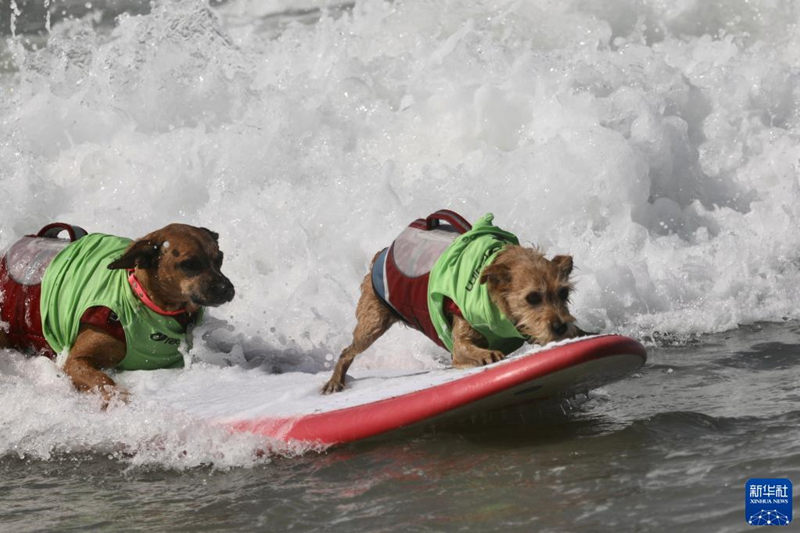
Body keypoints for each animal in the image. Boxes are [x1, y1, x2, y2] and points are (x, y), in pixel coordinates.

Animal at [0, 223, 234, 404]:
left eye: (220, 258)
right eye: (189, 264)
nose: (227, 289)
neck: (145, 300)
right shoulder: (76, 360)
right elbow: (103, 380)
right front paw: (117, 398)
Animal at [322, 210, 580, 392]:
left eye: (563, 294)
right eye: (532, 297)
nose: (560, 327)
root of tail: (381, 253)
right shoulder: (458, 343)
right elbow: (464, 348)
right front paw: (486, 354)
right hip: (372, 323)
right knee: (347, 350)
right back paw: (335, 381)